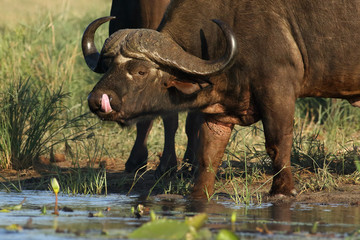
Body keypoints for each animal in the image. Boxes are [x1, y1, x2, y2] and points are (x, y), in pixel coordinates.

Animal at [81, 0, 360, 199]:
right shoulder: (217, 113)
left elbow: (277, 144)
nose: (96, 101)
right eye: (108, 66)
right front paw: (198, 192)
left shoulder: (278, 91)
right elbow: (208, 155)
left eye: (140, 71)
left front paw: (282, 190)